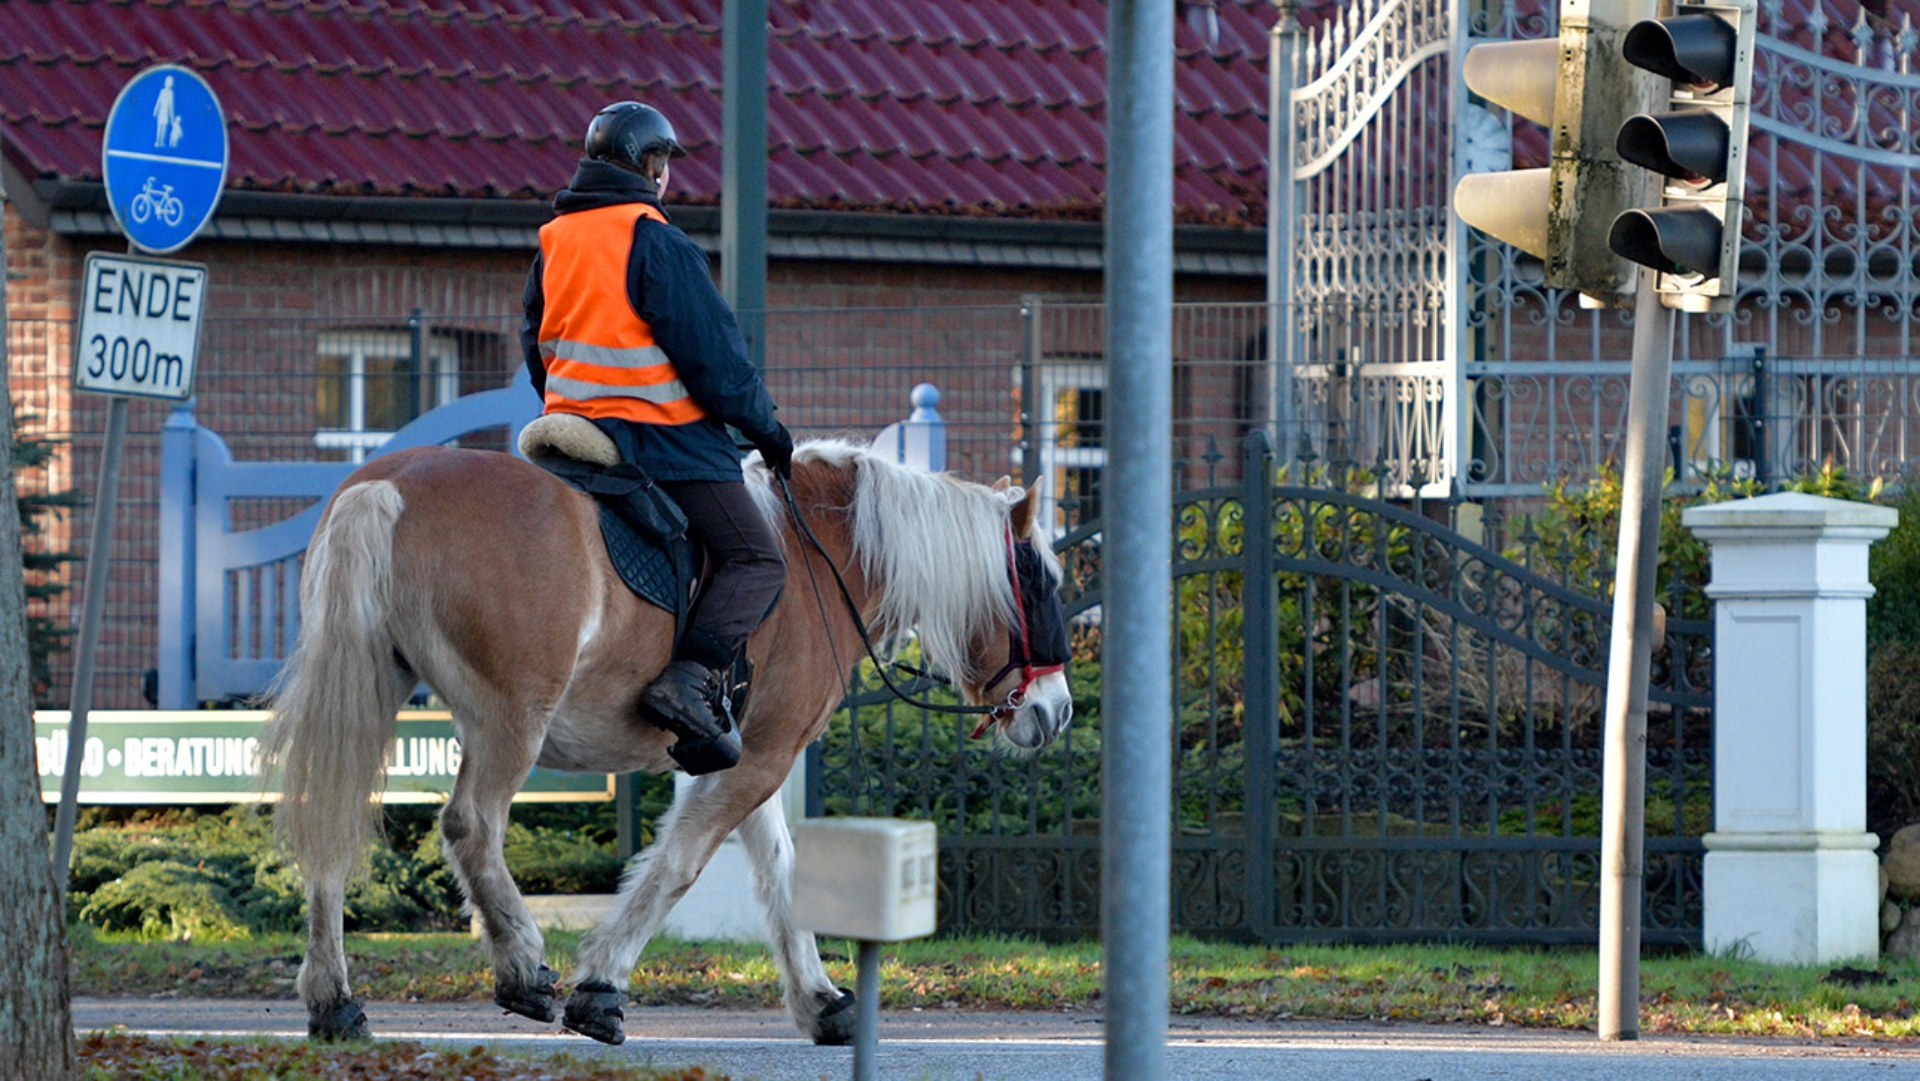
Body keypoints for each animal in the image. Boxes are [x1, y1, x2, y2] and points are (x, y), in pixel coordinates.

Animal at [257, 437, 1074, 1046]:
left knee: (331, 827)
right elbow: (680, 864)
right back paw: (521, 964)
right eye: (1040, 584)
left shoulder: (753, 754)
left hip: (369, 691)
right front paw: (599, 985)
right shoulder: (762, 756)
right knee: (470, 826)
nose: (1060, 712)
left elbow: (781, 872)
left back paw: (334, 1000)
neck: (820, 558)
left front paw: (821, 1001)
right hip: (510, 719)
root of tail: (386, 485)